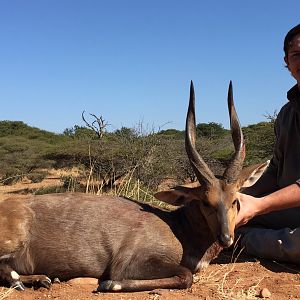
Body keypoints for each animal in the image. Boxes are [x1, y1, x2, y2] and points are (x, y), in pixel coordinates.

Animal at [0, 81, 268, 292]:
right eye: (205, 202)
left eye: (235, 200)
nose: (226, 238)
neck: (177, 227)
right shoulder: (128, 263)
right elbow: (185, 275)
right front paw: (109, 284)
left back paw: (44, 279)